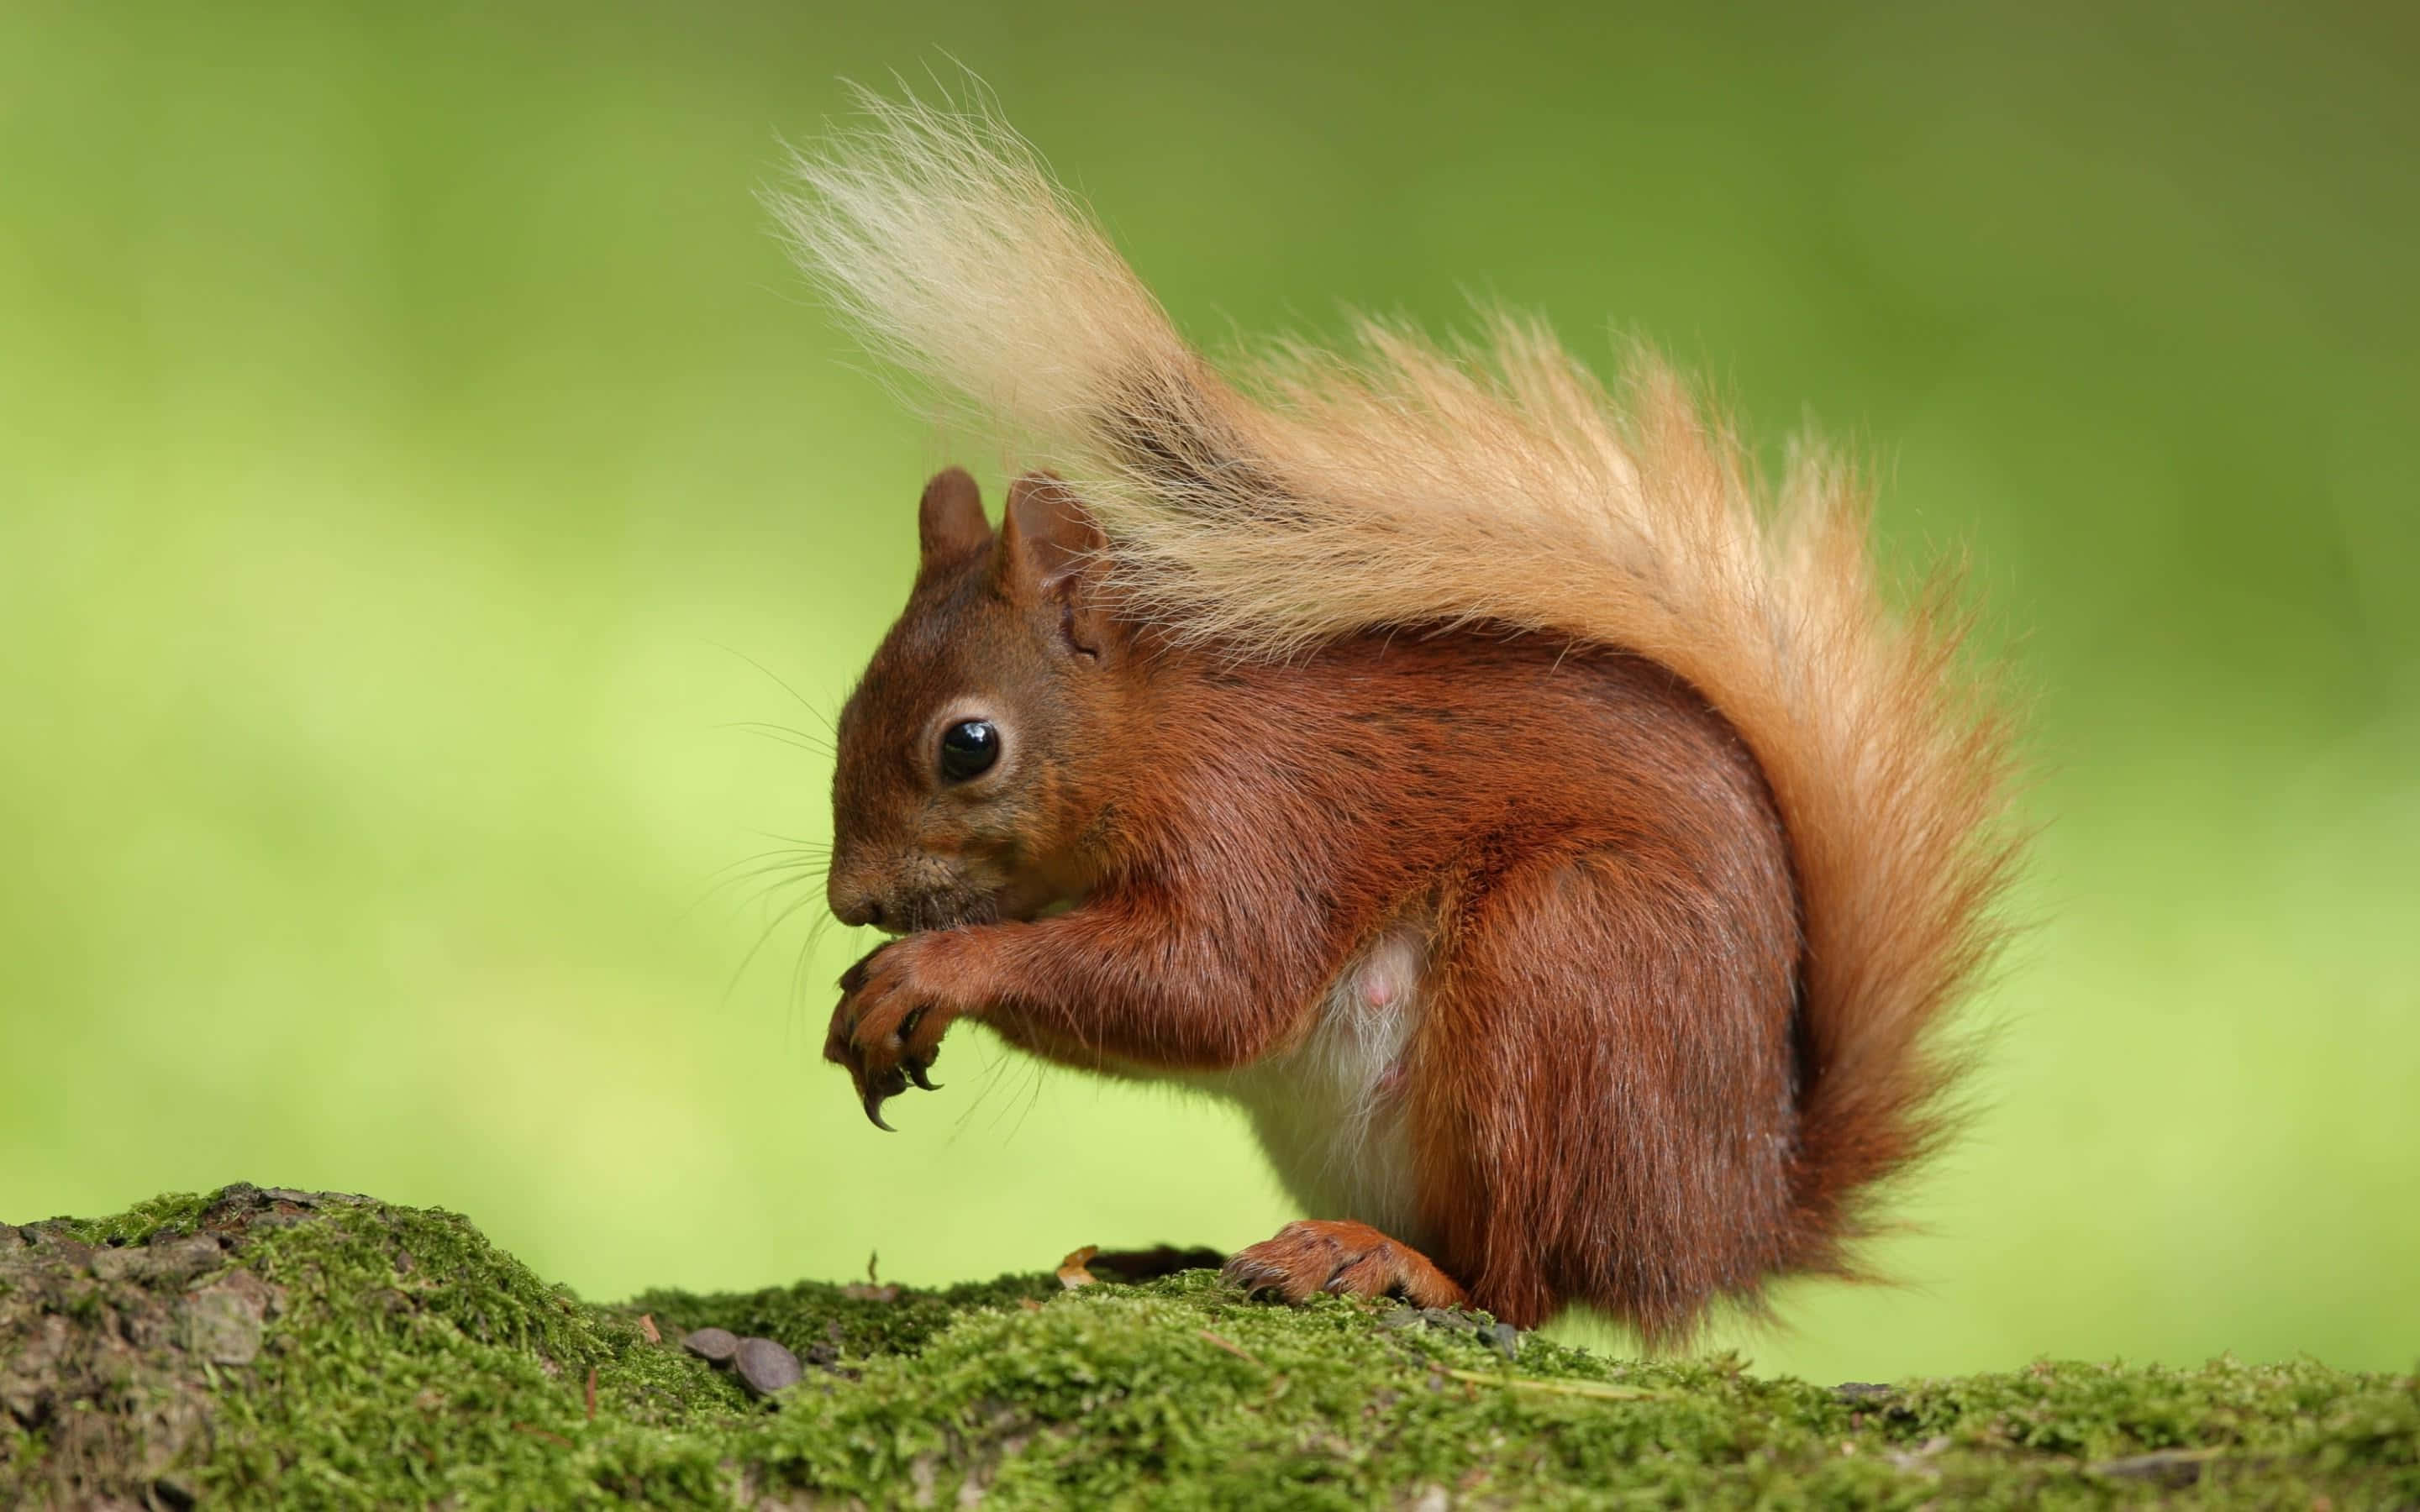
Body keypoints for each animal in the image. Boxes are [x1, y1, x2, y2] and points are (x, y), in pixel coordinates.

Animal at [774, 96, 2019, 1343]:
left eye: (967, 746)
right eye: (850, 706)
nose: (852, 902)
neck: (1161, 734)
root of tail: (1732, 1223)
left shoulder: (1262, 822)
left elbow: (1210, 986)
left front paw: (932, 970)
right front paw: (871, 1001)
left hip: (1565, 974)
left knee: (1522, 1286)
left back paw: (1390, 1267)